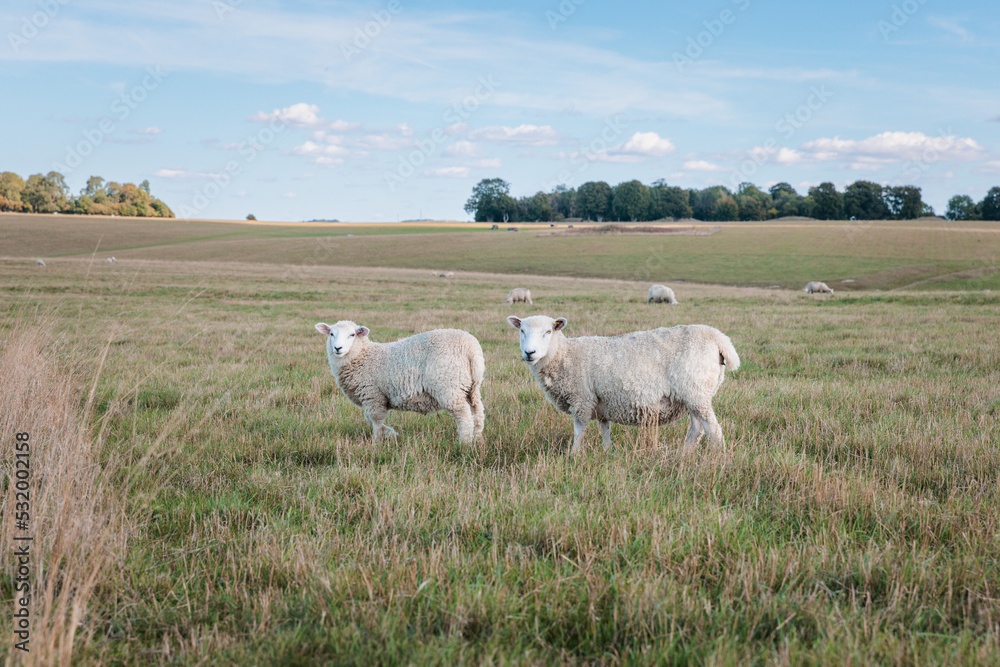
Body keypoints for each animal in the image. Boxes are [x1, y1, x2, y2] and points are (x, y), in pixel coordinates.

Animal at [312, 322, 484, 444]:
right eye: (332, 334)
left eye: (352, 334)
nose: (337, 348)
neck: (362, 356)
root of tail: (471, 347)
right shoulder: (377, 398)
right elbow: (369, 418)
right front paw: (392, 434)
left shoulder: (373, 395)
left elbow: (375, 420)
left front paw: (377, 442)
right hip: (471, 387)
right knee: (477, 413)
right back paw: (477, 439)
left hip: (449, 386)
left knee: (464, 415)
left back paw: (464, 443)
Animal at [504, 314, 740, 454]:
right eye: (522, 331)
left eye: (548, 331)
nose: (530, 353)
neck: (565, 355)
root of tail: (718, 337)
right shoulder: (602, 401)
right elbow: (605, 429)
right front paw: (607, 452)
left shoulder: (581, 399)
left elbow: (579, 430)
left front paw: (574, 455)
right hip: (694, 394)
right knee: (697, 429)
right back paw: (685, 454)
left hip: (695, 391)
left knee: (713, 430)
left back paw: (719, 457)